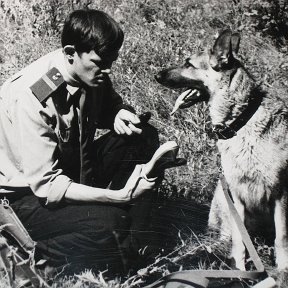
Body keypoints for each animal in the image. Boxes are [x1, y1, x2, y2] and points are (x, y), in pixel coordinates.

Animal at [156, 29, 288, 270]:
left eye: (188, 63)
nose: (157, 76)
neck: (242, 120)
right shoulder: (236, 196)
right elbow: (239, 240)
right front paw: (240, 269)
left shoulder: (281, 195)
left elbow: (282, 237)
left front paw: (283, 269)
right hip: (222, 192)